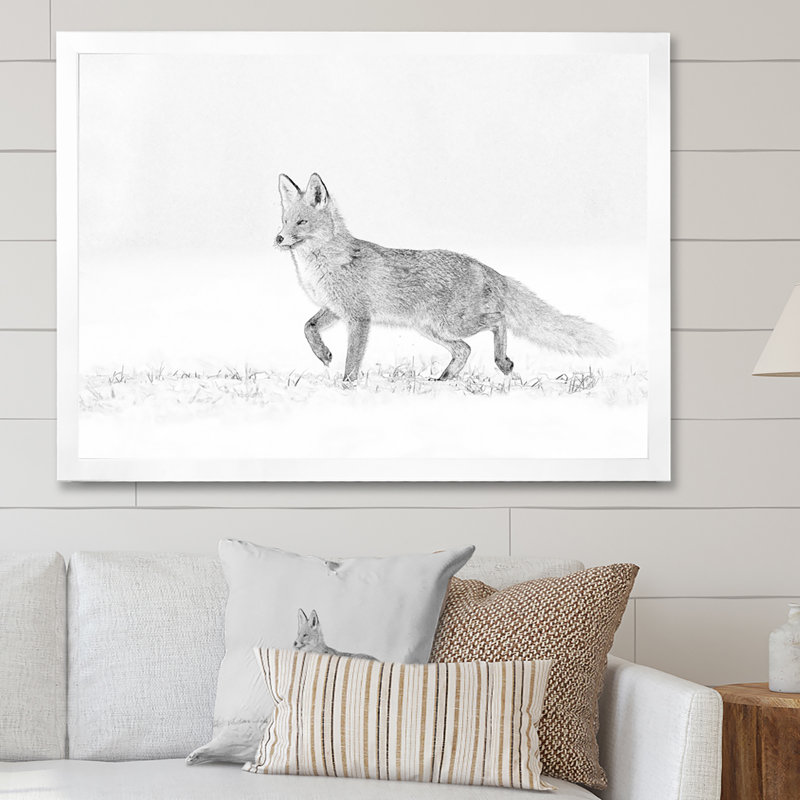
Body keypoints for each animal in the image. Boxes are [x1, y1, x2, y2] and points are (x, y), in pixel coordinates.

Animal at [275, 173, 614, 382]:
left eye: (301, 222)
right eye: (284, 220)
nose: (278, 238)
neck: (323, 265)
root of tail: (486, 267)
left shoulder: (359, 318)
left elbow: (352, 361)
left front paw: (347, 386)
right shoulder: (334, 309)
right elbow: (307, 328)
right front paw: (323, 354)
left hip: (448, 323)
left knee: (498, 319)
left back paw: (502, 362)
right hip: (432, 328)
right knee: (464, 349)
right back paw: (444, 379)